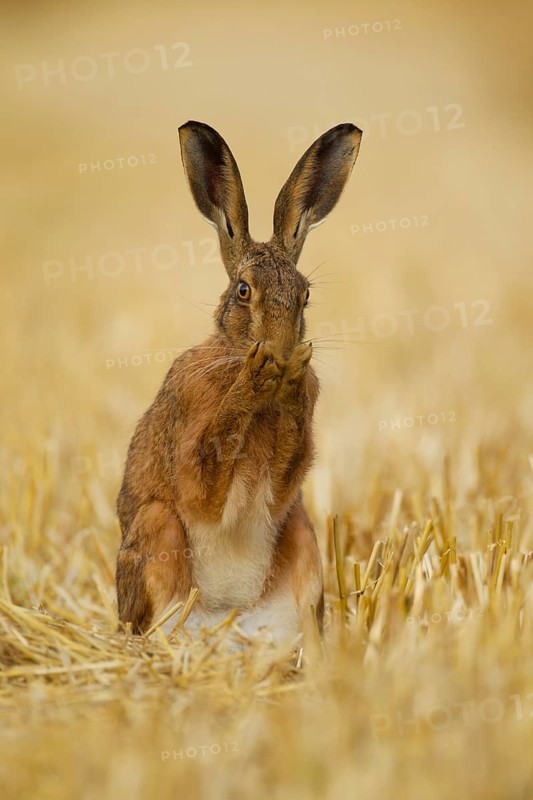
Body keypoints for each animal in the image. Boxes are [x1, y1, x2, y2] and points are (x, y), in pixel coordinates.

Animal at [116, 120, 362, 645]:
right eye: (244, 291)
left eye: (305, 295)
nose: (282, 350)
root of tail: (230, 619)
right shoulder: (194, 450)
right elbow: (208, 474)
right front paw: (255, 379)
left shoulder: (289, 474)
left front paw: (289, 379)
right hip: (157, 527)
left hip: (303, 536)